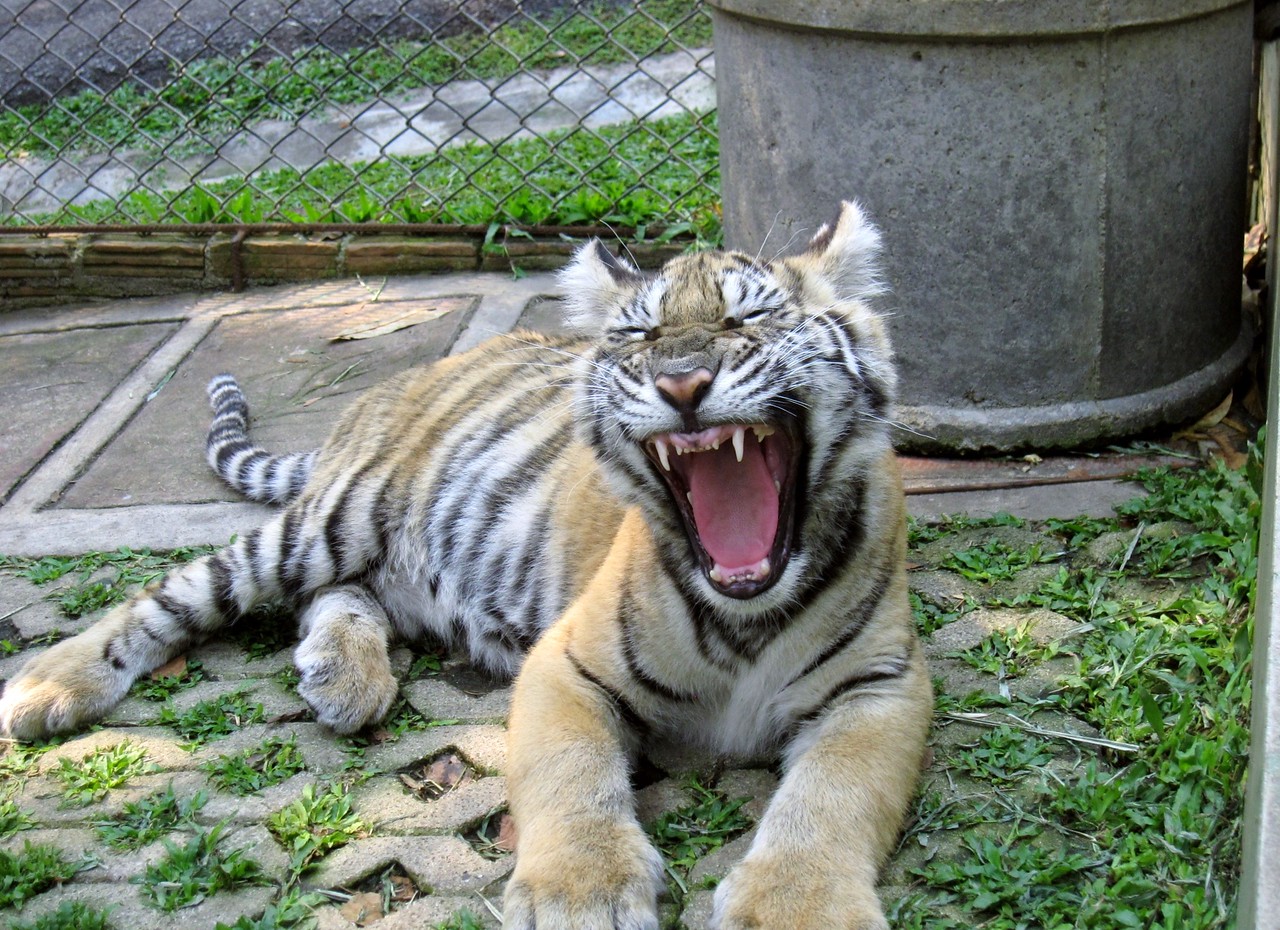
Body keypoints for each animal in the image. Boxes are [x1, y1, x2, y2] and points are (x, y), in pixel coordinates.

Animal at [0, 201, 932, 930]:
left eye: (750, 320)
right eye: (640, 334)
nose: (680, 382)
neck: (746, 607)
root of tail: (396, 384)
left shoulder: (880, 686)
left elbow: (830, 800)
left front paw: (797, 910)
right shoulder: (567, 665)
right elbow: (572, 779)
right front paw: (582, 894)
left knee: (334, 596)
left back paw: (344, 675)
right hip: (333, 520)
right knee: (173, 595)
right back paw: (49, 683)